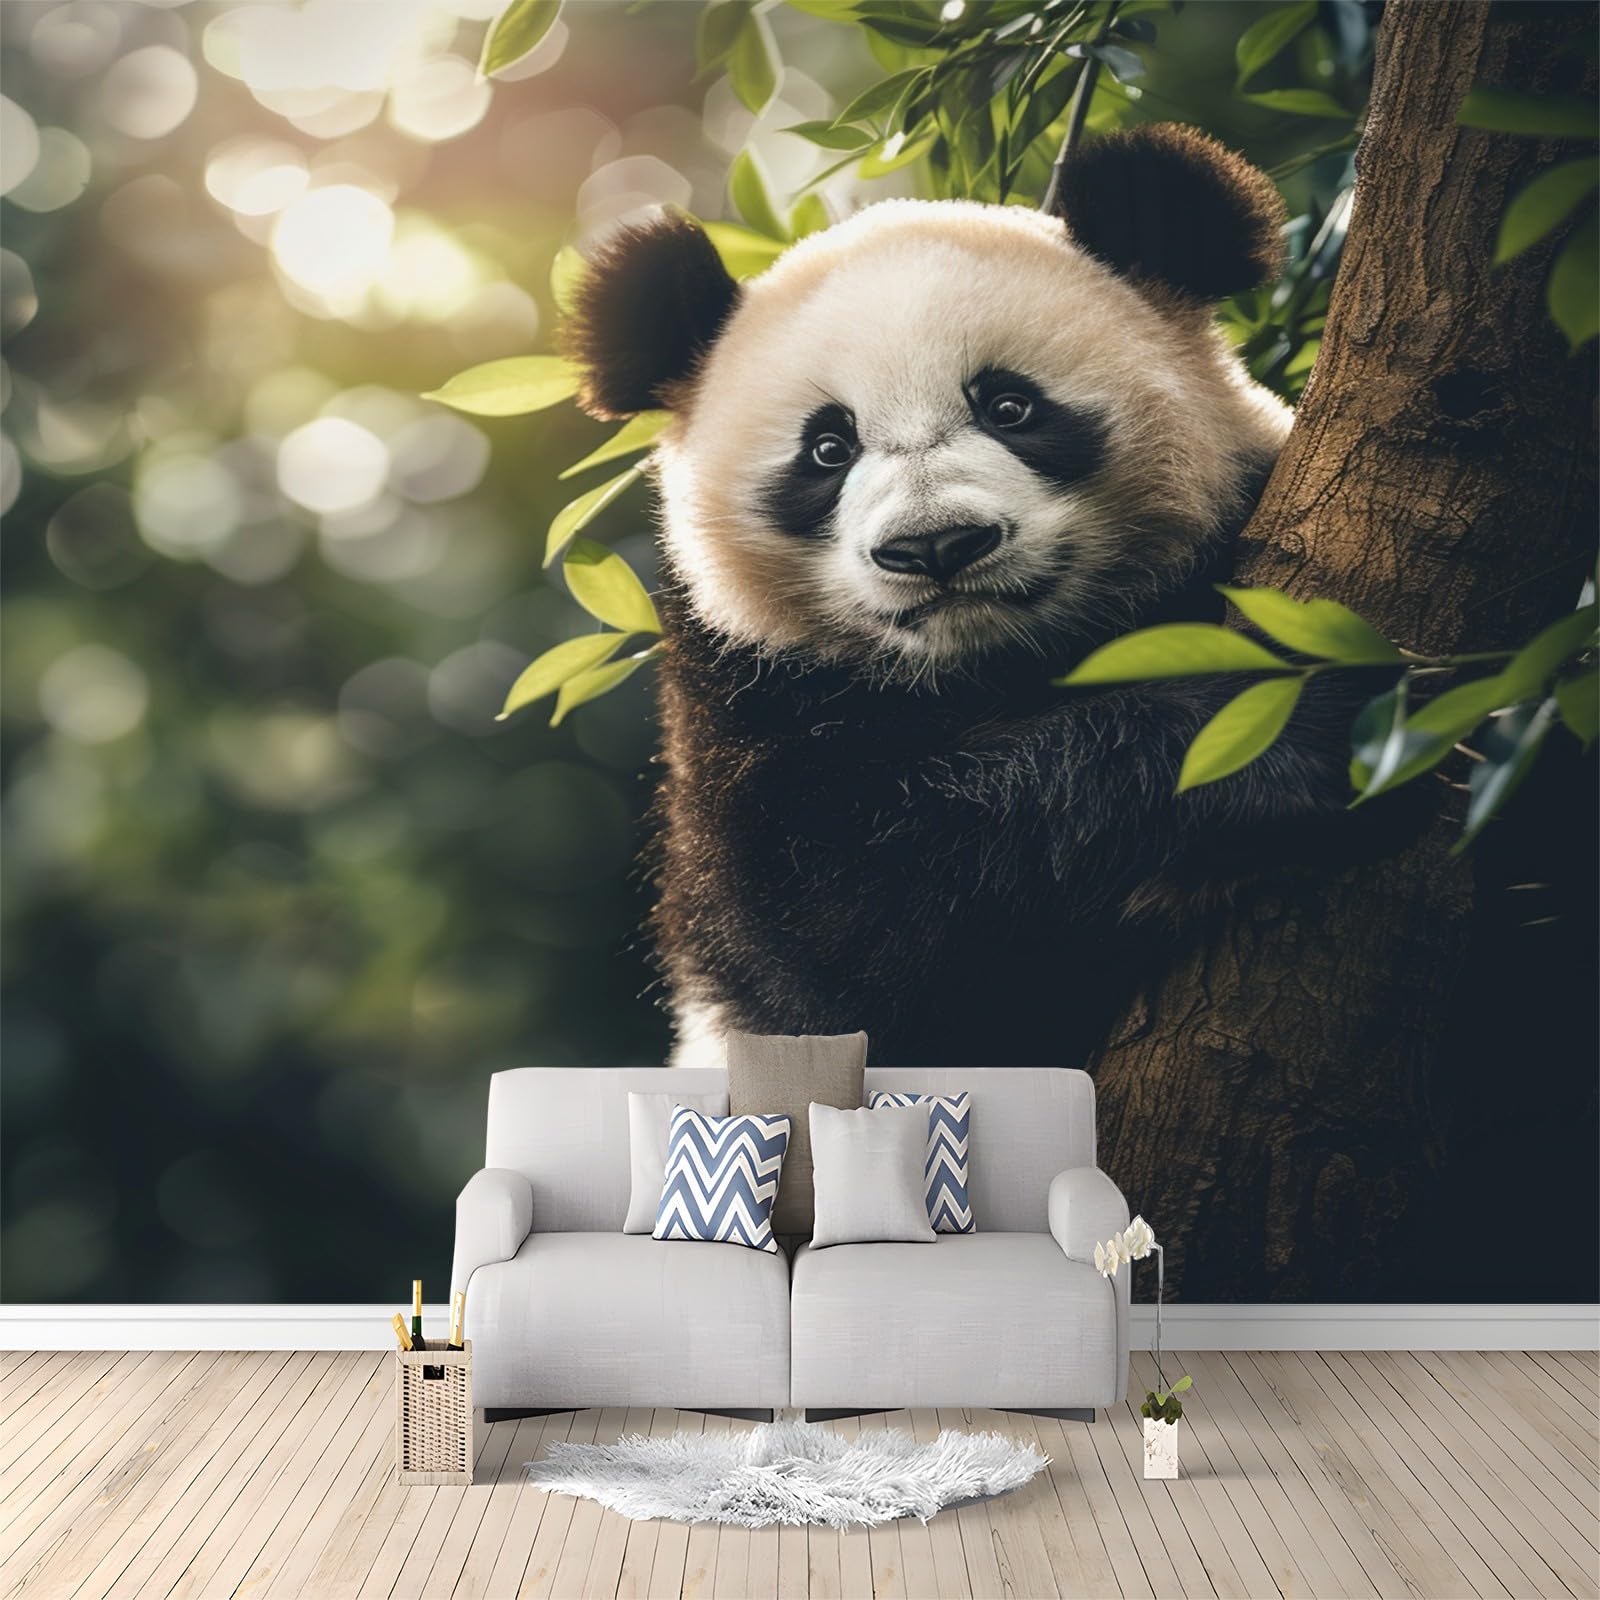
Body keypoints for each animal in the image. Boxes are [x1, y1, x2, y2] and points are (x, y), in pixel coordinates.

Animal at [564, 124, 1359, 1070]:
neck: (993, 667)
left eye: (1010, 405)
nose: (935, 546)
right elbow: (865, 922)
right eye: (828, 448)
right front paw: (1279, 729)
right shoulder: (745, 709)